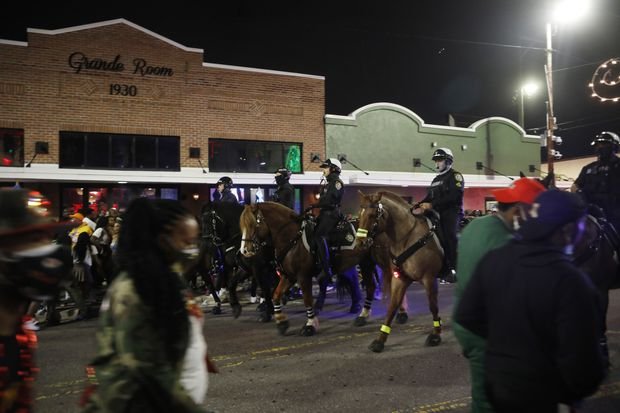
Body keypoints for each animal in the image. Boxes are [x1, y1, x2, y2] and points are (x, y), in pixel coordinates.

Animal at [237, 201, 392, 336]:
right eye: (242, 225)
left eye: (253, 224)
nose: (245, 251)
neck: (292, 239)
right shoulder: (288, 276)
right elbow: (276, 295)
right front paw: (281, 322)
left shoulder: (303, 276)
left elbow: (307, 300)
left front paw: (309, 325)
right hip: (366, 263)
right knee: (370, 286)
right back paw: (362, 316)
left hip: (381, 261)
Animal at [354, 190, 446, 350]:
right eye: (360, 214)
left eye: (372, 215)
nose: (360, 243)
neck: (409, 237)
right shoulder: (399, 278)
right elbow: (392, 306)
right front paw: (380, 339)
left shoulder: (429, 279)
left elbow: (433, 306)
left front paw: (435, 334)